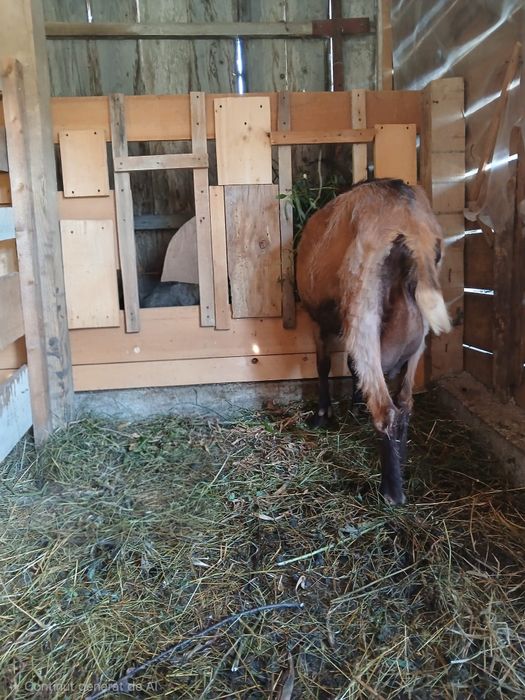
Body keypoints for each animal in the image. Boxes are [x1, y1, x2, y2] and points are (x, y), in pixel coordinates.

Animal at [296, 179, 451, 505]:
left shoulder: (319, 322)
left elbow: (323, 364)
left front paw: (322, 415)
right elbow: (351, 366)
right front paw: (354, 403)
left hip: (363, 309)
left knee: (386, 409)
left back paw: (391, 492)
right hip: (418, 335)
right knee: (404, 403)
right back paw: (402, 463)